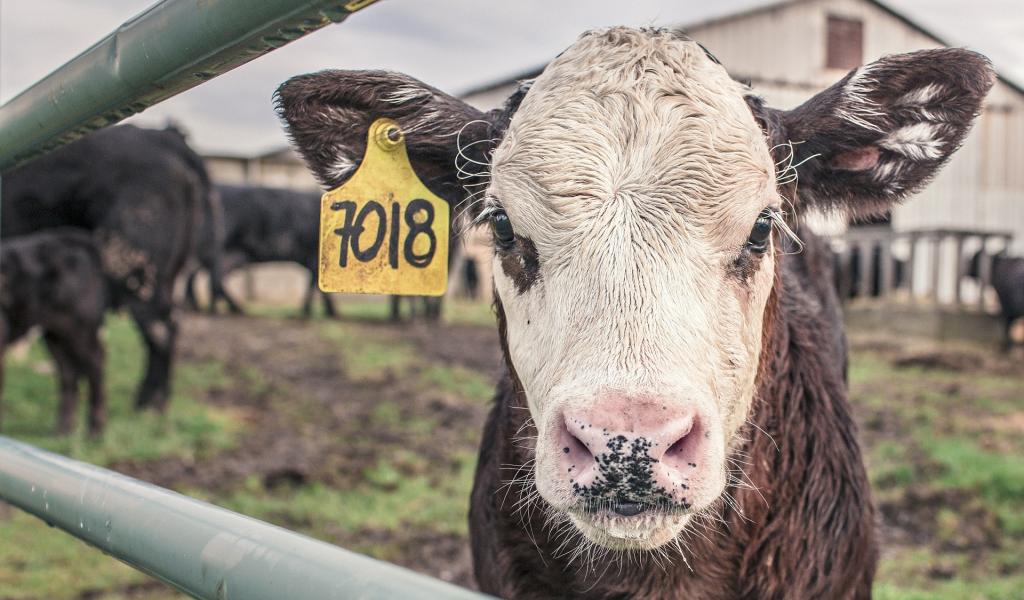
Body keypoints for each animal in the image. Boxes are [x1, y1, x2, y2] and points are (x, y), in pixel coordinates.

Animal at [1, 226, 108, 432]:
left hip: (81, 329)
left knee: (95, 364)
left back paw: (94, 430)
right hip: (55, 334)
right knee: (68, 372)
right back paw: (63, 429)